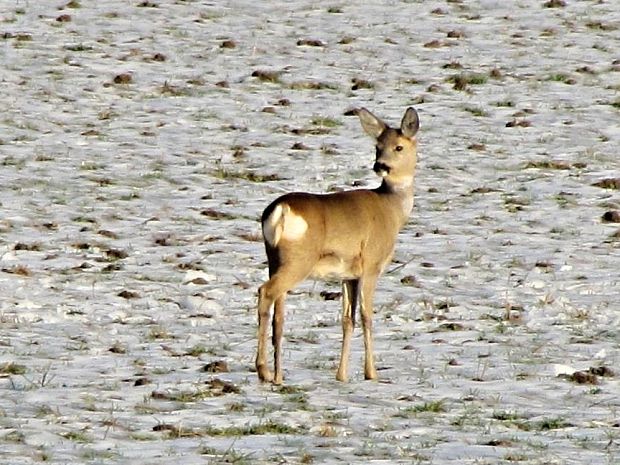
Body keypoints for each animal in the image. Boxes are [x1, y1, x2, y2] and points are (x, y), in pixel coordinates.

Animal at [254, 107, 418, 382]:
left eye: (398, 147)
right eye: (378, 146)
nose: (380, 166)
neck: (392, 209)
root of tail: (280, 211)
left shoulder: (347, 274)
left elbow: (346, 319)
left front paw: (341, 375)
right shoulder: (371, 265)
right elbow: (366, 316)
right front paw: (371, 373)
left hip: (274, 258)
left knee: (279, 313)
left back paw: (277, 375)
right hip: (299, 259)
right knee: (265, 292)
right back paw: (263, 370)